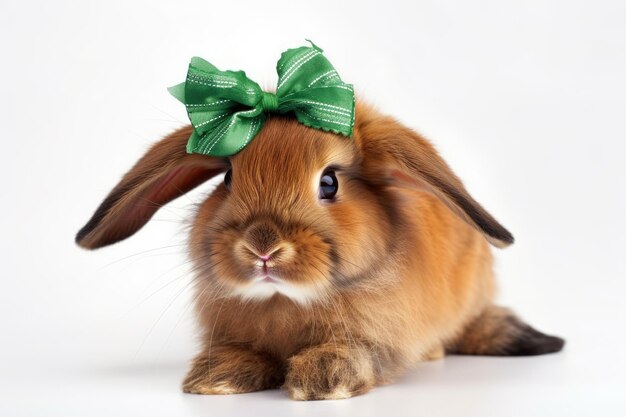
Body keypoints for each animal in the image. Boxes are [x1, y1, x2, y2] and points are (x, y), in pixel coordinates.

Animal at [75, 101, 564, 400]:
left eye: (329, 182)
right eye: (228, 178)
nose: (263, 247)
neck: (283, 301)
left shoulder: (381, 337)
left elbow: (358, 354)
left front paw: (323, 379)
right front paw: (215, 378)